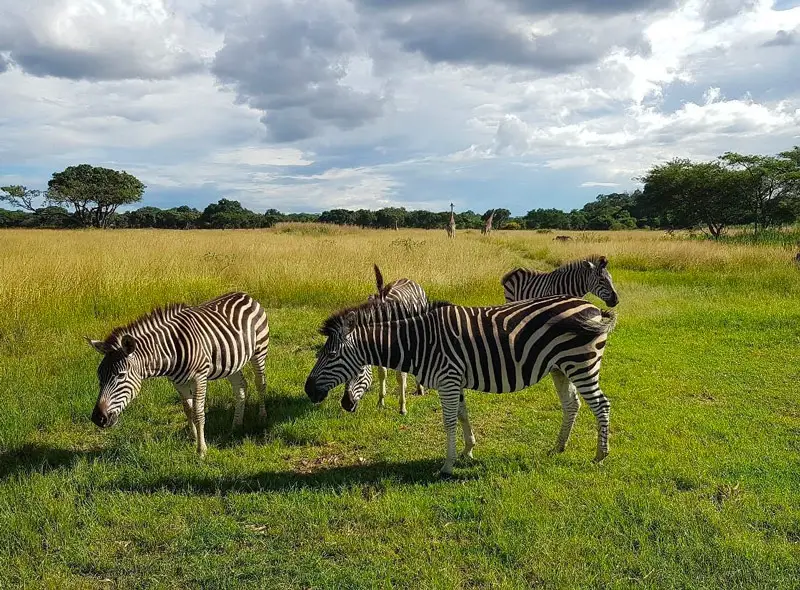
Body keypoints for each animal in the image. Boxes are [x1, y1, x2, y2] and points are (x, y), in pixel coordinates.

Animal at [86, 292, 270, 458]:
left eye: (121, 375)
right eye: (99, 376)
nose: (98, 418)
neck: (170, 351)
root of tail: (244, 294)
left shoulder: (199, 378)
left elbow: (198, 412)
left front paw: (201, 450)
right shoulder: (177, 382)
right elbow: (187, 410)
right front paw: (193, 438)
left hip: (259, 351)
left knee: (260, 383)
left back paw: (262, 417)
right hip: (232, 362)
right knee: (241, 388)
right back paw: (236, 425)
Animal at [306, 296, 620, 476]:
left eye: (331, 355)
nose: (309, 391)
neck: (418, 342)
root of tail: (592, 306)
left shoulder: (447, 379)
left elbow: (448, 421)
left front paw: (447, 465)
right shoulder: (454, 380)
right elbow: (463, 414)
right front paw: (468, 450)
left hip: (581, 363)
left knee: (601, 405)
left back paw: (600, 456)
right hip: (560, 368)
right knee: (572, 404)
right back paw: (558, 447)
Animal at [344, 264, 432, 416]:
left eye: (358, 372)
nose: (345, 404)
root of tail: (407, 279)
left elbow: (400, 377)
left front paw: (402, 407)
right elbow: (382, 373)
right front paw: (380, 401)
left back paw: (420, 388)